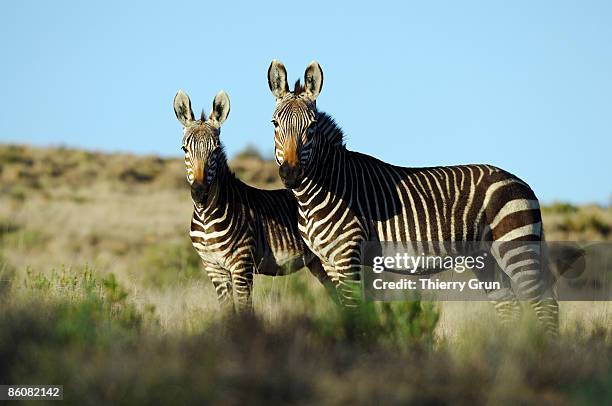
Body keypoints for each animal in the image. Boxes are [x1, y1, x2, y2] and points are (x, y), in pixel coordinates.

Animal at [172, 88, 334, 310]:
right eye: (184, 149)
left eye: (215, 150)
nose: (199, 192)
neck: (206, 217)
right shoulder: (214, 268)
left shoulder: (242, 265)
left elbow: (244, 310)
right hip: (317, 263)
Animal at [266, 59, 560, 334]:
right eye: (274, 124)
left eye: (311, 127)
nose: (291, 174)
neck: (320, 191)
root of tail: (522, 182)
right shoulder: (328, 261)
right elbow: (345, 309)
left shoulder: (348, 254)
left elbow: (353, 308)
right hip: (486, 257)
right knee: (509, 306)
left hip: (516, 246)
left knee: (545, 303)